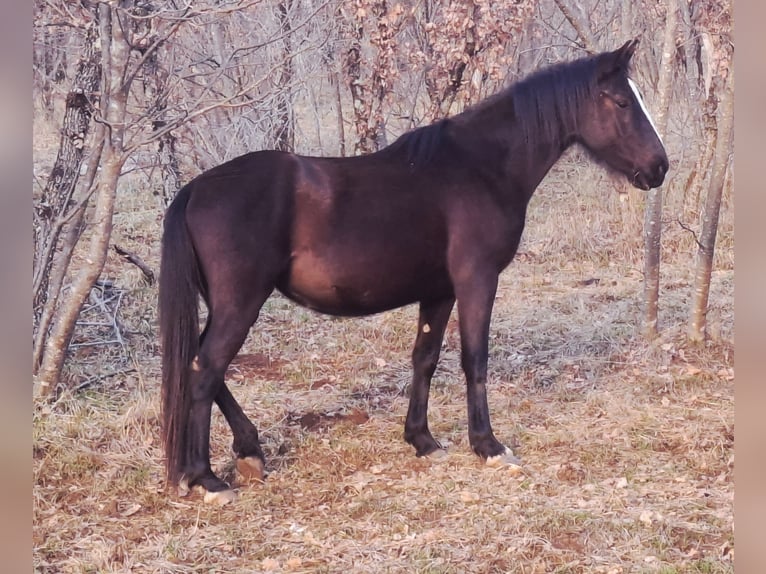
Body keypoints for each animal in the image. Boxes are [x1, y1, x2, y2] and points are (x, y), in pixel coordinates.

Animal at [159, 39, 668, 504]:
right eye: (622, 102)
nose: (660, 167)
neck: (481, 168)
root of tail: (196, 189)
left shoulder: (439, 291)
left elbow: (425, 357)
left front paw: (422, 440)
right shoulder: (477, 280)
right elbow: (474, 359)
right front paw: (488, 445)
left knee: (203, 366)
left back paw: (248, 451)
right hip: (242, 301)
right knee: (206, 369)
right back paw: (206, 478)